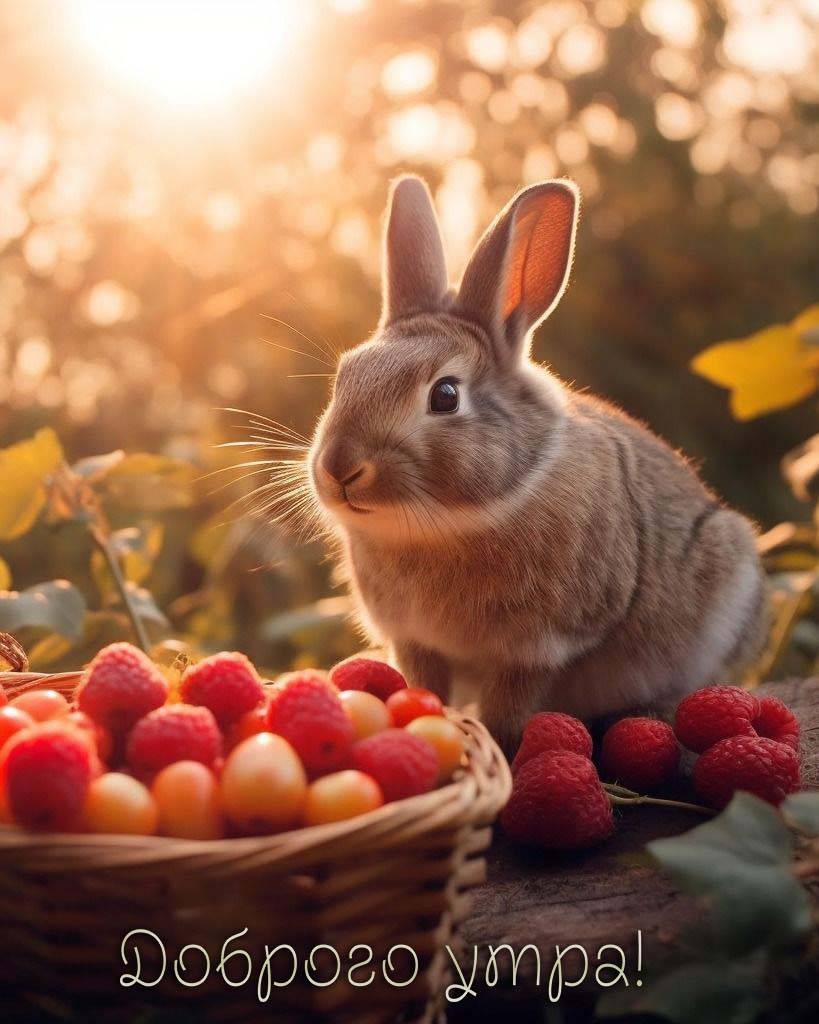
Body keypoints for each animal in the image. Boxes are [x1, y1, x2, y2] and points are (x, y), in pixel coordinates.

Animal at [306, 175, 768, 755]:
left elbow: (509, 709)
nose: (339, 468)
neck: (446, 523)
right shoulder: (415, 640)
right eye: (345, 374)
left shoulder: (536, 648)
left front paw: (504, 751)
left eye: (445, 396)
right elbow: (425, 686)